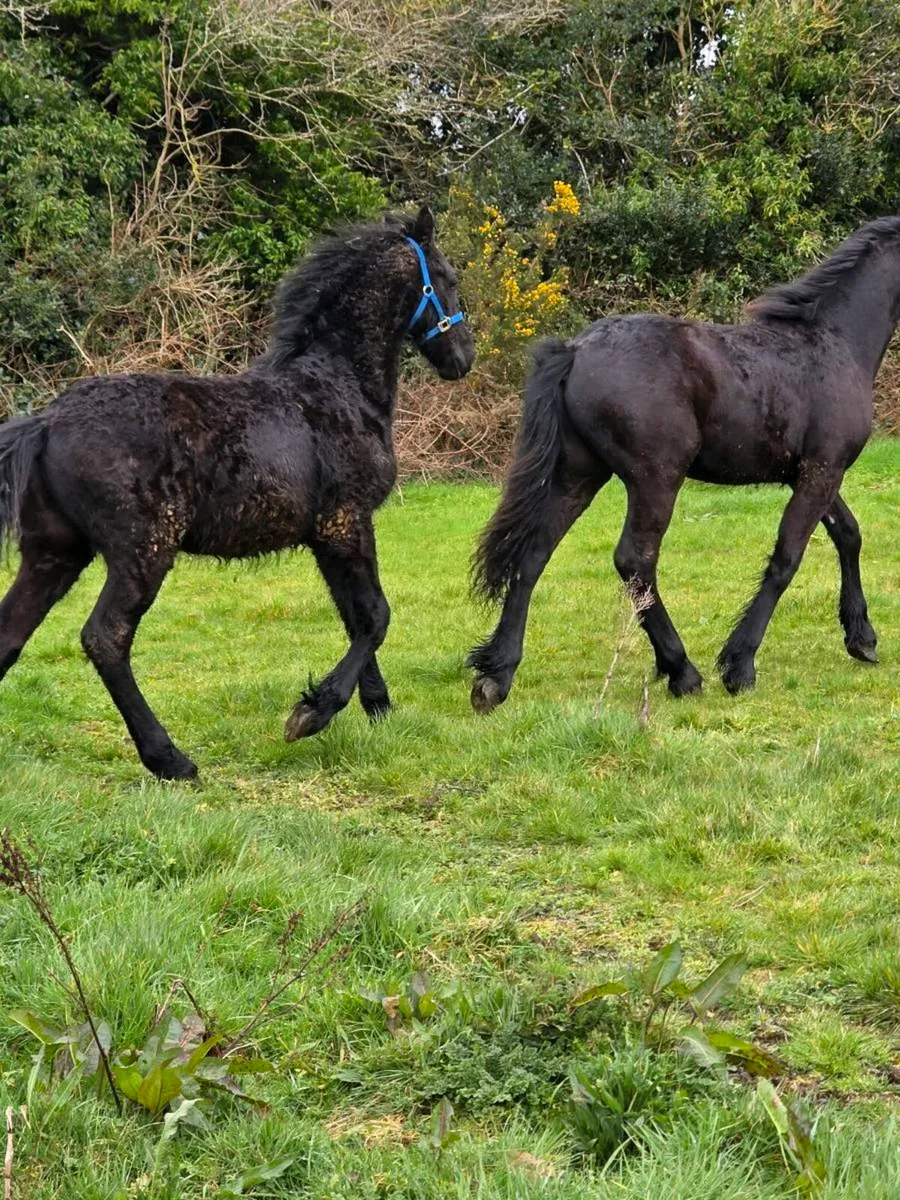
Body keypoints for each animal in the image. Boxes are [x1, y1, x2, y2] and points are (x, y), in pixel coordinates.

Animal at [0, 207, 475, 779]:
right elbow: (376, 616)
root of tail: (46, 422)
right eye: (448, 278)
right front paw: (313, 713)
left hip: (55, 553)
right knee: (106, 638)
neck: (337, 386)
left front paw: (378, 709)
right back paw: (170, 759)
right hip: (141, 552)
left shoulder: (326, 535)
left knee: (9, 633)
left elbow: (356, 617)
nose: (463, 359)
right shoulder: (348, 521)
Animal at [468, 216, 899, 713]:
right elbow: (787, 558)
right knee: (634, 560)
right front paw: (739, 665)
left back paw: (496, 675)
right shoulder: (821, 470)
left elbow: (848, 535)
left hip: (577, 474)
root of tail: (575, 350)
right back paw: (682, 671)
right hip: (656, 479)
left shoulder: (812, 474)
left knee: (534, 553)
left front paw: (861, 638)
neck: (834, 342)